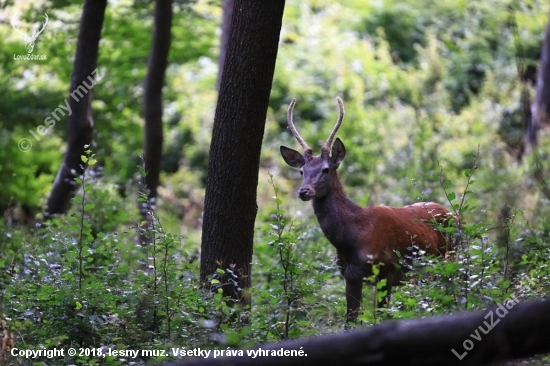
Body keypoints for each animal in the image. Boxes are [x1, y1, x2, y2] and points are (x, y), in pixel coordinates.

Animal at [280, 96, 452, 324]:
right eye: (302, 171)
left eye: (326, 169)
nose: (304, 191)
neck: (352, 238)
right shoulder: (350, 276)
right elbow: (350, 321)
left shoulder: (387, 271)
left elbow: (382, 317)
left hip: (452, 257)